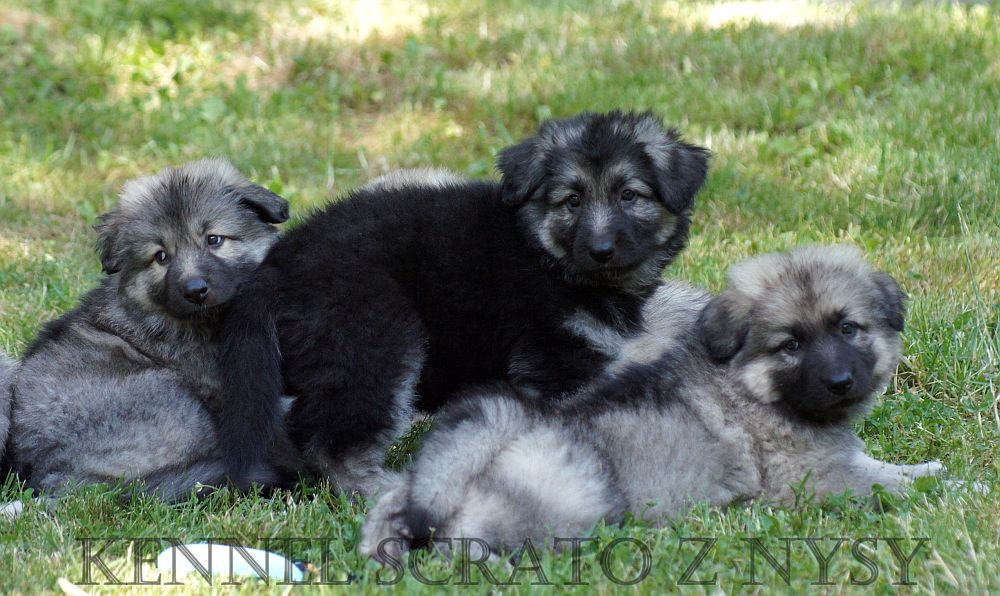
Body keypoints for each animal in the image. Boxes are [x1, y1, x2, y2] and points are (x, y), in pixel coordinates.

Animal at [215, 110, 710, 495]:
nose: (601, 249)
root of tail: (278, 266)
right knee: (334, 442)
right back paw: (386, 489)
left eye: (629, 195)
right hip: (375, 340)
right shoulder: (556, 362)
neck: (546, 255)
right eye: (572, 200)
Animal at [359, 245, 944, 560]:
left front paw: (929, 468)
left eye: (849, 328)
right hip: (574, 499)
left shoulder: (839, 459)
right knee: (468, 539)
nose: (842, 381)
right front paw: (947, 485)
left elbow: (885, 467)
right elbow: (884, 484)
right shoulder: (812, 480)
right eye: (791, 345)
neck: (752, 386)